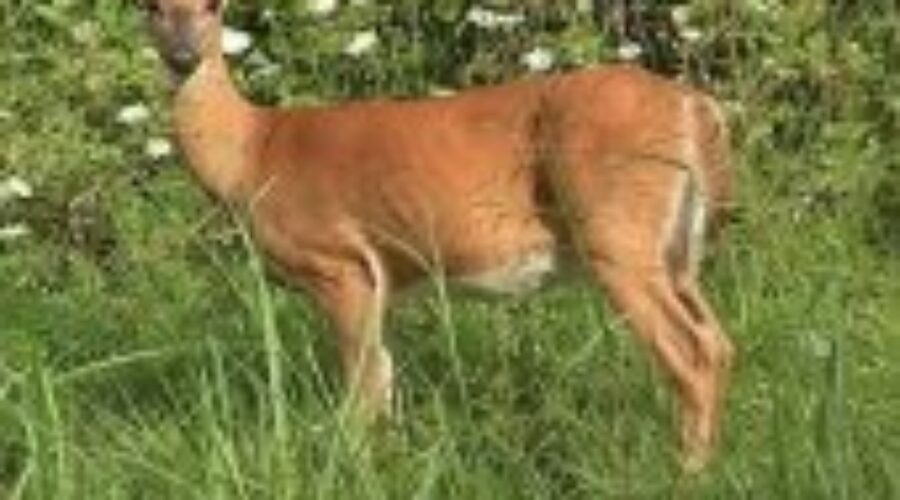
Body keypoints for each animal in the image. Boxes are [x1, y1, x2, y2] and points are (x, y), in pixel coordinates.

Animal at [139, 0, 735, 471]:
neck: (251, 154)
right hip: (678, 248)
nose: (184, 57)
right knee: (719, 341)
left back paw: (686, 472)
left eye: (214, 5)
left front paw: (355, 468)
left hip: (615, 230)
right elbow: (384, 380)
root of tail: (695, 106)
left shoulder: (337, 262)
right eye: (152, 6)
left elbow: (361, 389)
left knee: (691, 350)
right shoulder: (380, 279)